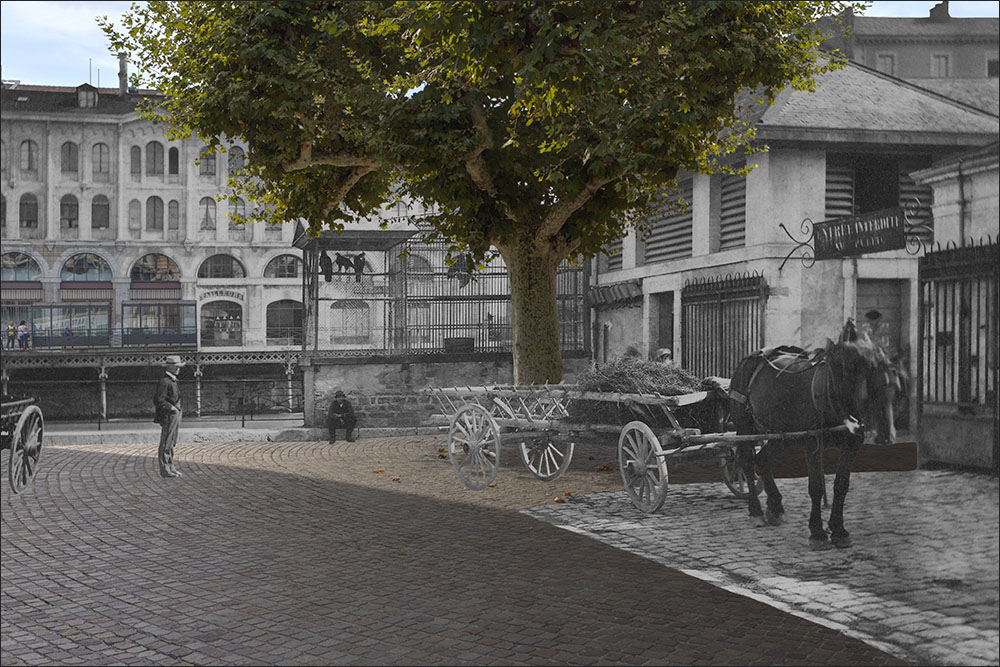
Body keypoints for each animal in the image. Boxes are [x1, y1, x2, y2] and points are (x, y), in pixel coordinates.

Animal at [728, 320, 908, 552]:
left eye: (895, 388)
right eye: (871, 387)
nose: (887, 437)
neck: (835, 390)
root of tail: (752, 356)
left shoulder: (852, 443)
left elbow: (841, 485)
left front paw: (839, 530)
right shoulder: (812, 443)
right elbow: (815, 486)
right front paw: (818, 533)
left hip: (783, 434)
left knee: (763, 459)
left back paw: (775, 506)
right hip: (745, 427)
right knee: (747, 462)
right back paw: (756, 511)